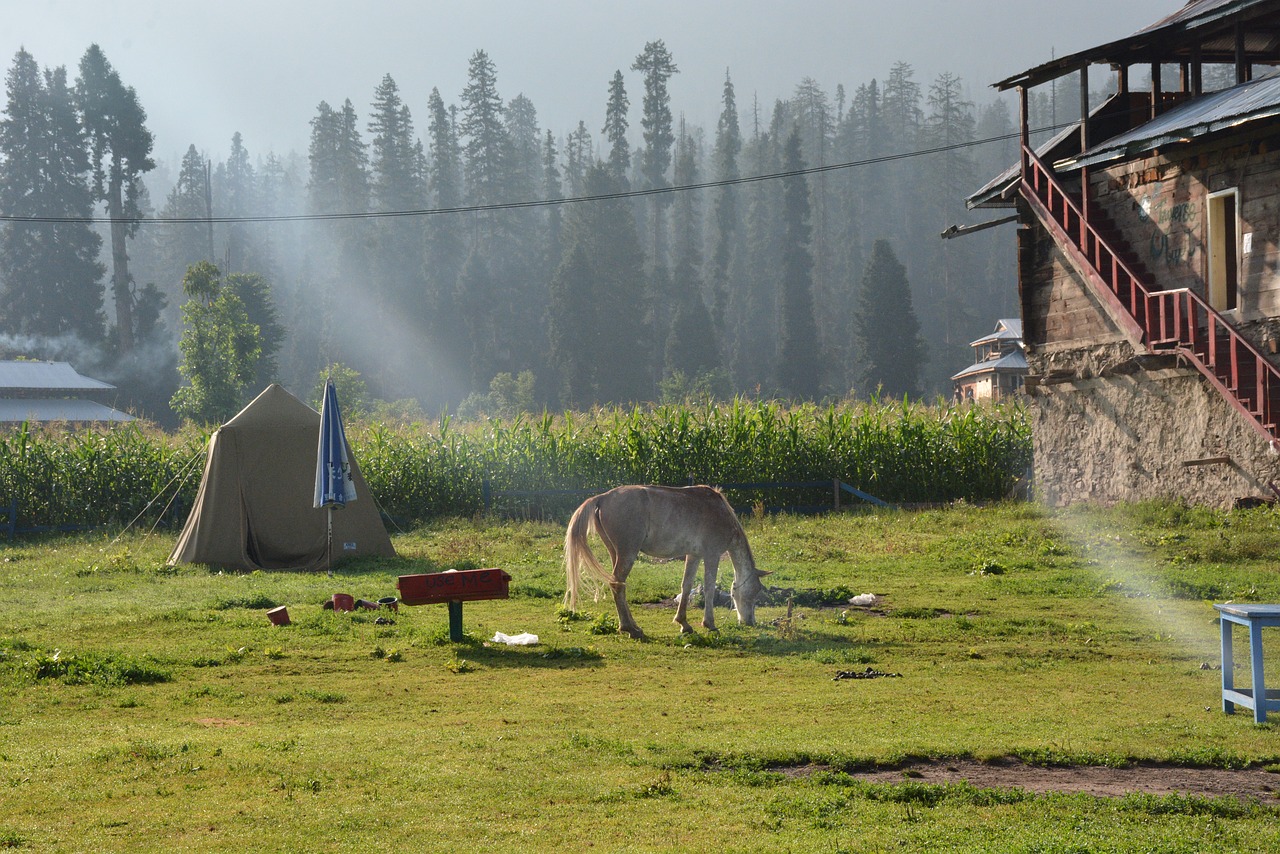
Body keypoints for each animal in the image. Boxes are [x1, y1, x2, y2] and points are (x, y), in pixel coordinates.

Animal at [563, 483, 762, 637]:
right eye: (754, 592)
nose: (750, 621)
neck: (720, 511)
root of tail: (603, 497)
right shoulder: (711, 555)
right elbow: (709, 589)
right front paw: (710, 624)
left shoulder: (694, 555)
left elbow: (686, 586)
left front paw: (684, 624)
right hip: (628, 553)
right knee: (617, 585)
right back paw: (630, 629)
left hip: (616, 553)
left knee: (619, 585)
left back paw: (634, 626)